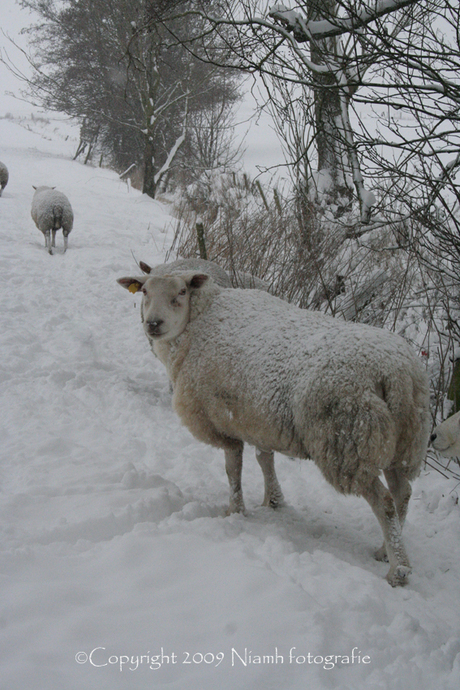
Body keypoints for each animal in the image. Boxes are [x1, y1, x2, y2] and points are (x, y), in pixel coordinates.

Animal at [117, 272, 432, 584]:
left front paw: (234, 510)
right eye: (144, 291)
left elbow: (233, 468)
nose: (153, 324)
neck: (199, 323)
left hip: (349, 442)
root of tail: (397, 374)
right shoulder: (256, 419)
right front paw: (273, 500)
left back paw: (398, 570)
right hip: (403, 442)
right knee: (403, 493)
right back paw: (384, 550)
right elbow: (264, 459)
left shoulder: (224, 422)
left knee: (385, 501)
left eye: (182, 292)